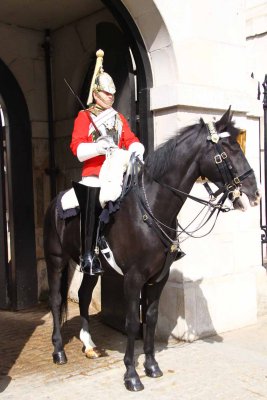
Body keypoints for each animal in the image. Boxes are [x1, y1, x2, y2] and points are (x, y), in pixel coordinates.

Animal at [44, 108, 262, 390]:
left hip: (91, 268)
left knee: (82, 296)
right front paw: (131, 374)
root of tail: (54, 201)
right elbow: (131, 323)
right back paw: (59, 351)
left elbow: (151, 317)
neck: (152, 208)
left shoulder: (158, 277)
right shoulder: (133, 278)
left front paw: (151, 365)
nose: (254, 194)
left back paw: (89, 345)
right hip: (56, 261)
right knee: (56, 300)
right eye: (227, 150)